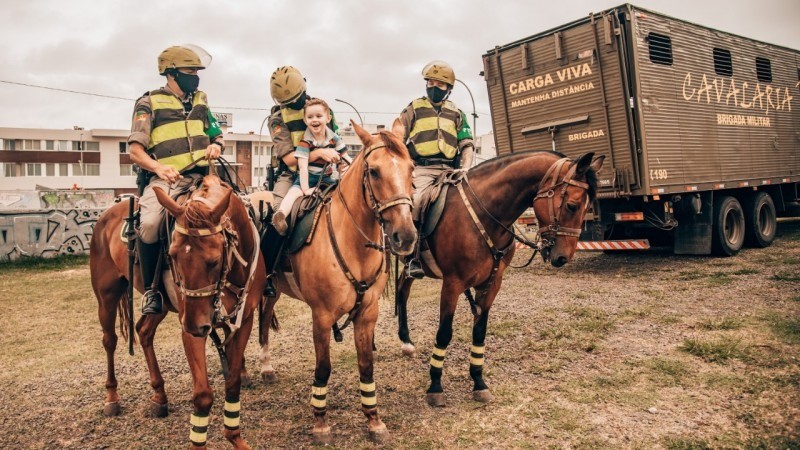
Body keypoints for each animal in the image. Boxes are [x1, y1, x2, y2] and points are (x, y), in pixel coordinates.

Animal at [89, 174, 266, 448]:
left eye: (214, 261)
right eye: (172, 255)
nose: (195, 325)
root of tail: (106, 215)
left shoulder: (242, 322)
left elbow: (233, 382)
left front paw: (235, 437)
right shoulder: (191, 330)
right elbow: (203, 395)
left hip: (161, 306)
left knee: (144, 331)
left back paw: (159, 396)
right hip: (107, 295)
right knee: (110, 340)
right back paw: (112, 398)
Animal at [258, 121, 418, 444]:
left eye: (411, 168)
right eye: (374, 171)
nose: (405, 236)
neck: (352, 243)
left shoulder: (367, 313)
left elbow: (366, 367)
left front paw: (374, 420)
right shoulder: (321, 316)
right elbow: (323, 368)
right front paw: (321, 423)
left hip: (275, 289)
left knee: (266, 315)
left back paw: (267, 366)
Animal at [396, 151, 604, 408]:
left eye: (587, 207)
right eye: (572, 205)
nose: (563, 257)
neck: (485, 215)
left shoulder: (492, 283)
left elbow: (479, 332)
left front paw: (478, 382)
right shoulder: (452, 284)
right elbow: (444, 333)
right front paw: (435, 386)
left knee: (402, 289)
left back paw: (406, 341)